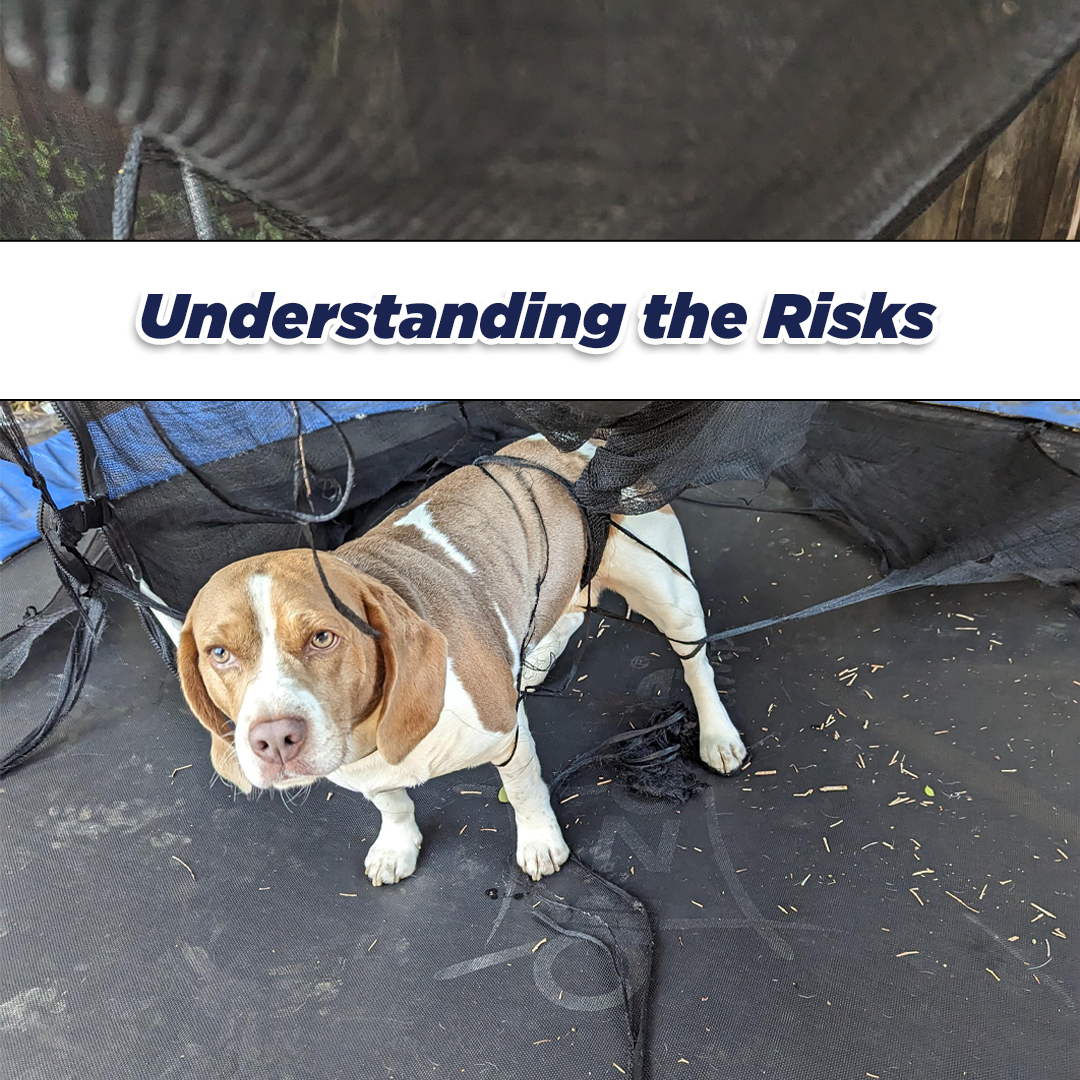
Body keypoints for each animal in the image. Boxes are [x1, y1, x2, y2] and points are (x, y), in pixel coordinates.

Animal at [177, 434, 747, 881]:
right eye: (219, 653)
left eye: (323, 637)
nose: (274, 739)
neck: (375, 732)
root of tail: (592, 449)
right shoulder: (366, 774)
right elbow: (392, 803)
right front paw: (397, 844)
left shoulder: (507, 737)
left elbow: (523, 791)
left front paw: (539, 841)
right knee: (568, 615)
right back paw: (534, 662)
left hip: (671, 596)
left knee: (696, 665)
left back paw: (716, 735)